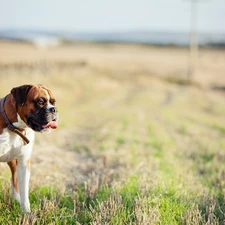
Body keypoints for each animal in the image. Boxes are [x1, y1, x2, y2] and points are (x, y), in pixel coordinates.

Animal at [0, 84, 58, 213]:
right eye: (40, 102)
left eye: (53, 102)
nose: (54, 109)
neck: (15, 128)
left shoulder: (23, 164)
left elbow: (24, 192)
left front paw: (26, 213)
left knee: (14, 179)